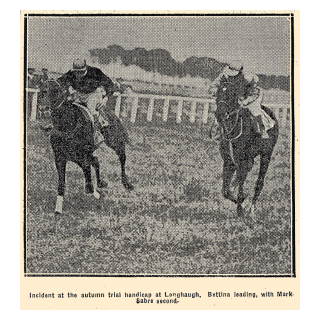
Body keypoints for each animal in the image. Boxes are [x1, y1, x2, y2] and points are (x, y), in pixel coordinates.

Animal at [45, 80, 132, 215]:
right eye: (41, 90)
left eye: (55, 91)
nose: (44, 108)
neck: (68, 125)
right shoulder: (60, 157)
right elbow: (62, 183)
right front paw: (58, 209)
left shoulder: (83, 156)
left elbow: (89, 184)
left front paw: (96, 194)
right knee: (96, 161)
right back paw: (101, 183)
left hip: (115, 142)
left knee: (122, 157)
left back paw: (126, 183)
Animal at [210, 79, 278, 216]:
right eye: (218, 93)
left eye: (231, 95)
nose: (220, 114)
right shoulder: (229, 161)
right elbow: (225, 191)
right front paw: (236, 199)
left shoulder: (242, 161)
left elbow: (240, 183)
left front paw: (240, 209)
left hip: (266, 155)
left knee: (259, 182)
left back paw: (251, 209)